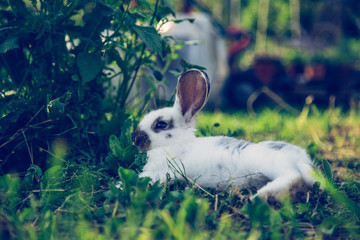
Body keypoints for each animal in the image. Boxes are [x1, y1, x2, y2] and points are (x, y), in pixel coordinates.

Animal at [132, 69, 316, 201]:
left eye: (160, 125)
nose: (134, 139)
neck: (176, 145)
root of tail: (302, 159)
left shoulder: (168, 170)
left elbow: (151, 177)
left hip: (272, 164)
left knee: (293, 177)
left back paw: (263, 197)